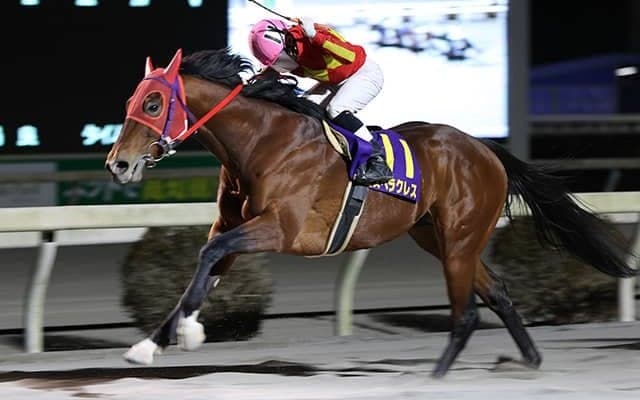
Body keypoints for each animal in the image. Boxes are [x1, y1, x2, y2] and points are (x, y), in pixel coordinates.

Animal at [105, 47, 636, 378]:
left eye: (153, 102)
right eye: (132, 99)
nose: (118, 164)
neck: (261, 142)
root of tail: (485, 149)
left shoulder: (281, 229)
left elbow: (211, 253)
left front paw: (188, 333)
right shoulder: (236, 224)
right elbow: (206, 263)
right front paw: (150, 344)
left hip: (461, 237)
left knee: (466, 310)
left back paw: (436, 377)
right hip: (437, 236)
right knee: (499, 293)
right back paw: (528, 360)